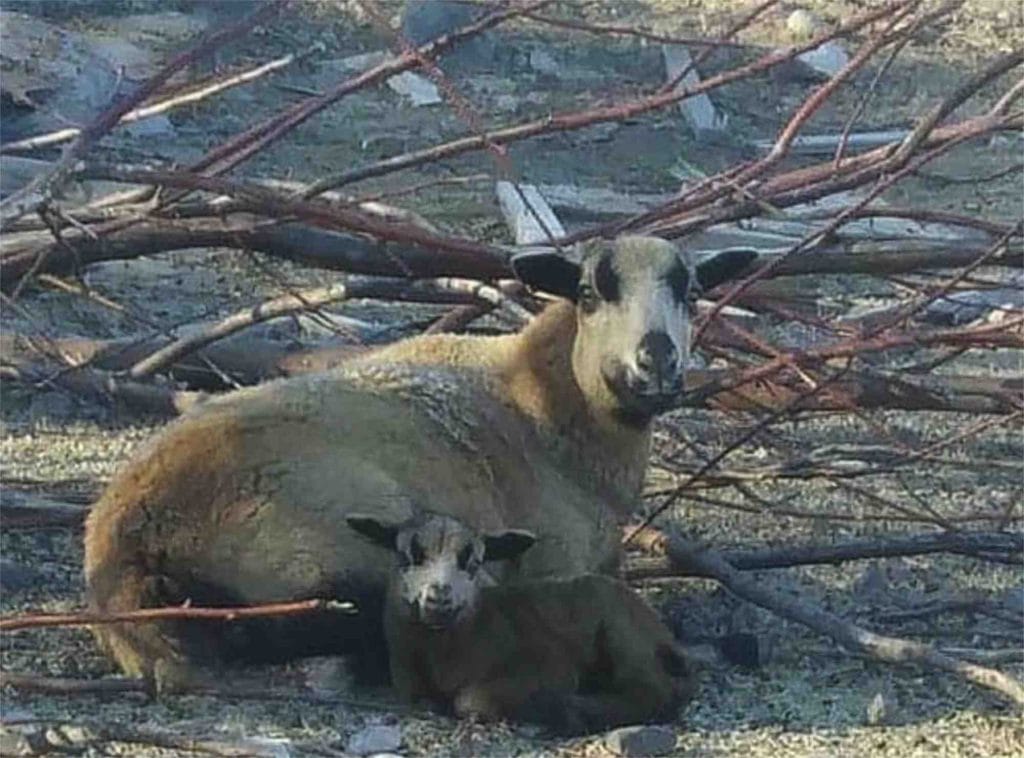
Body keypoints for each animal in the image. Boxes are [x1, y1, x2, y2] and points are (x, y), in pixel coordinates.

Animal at [348, 510, 700, 733]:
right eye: (408, 555)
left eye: (473, 563)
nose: (439, 598)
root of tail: (660, 629)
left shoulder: (548, 666)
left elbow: (469, 700)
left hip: (623, 635)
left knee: (652, 690)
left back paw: (571, 712)